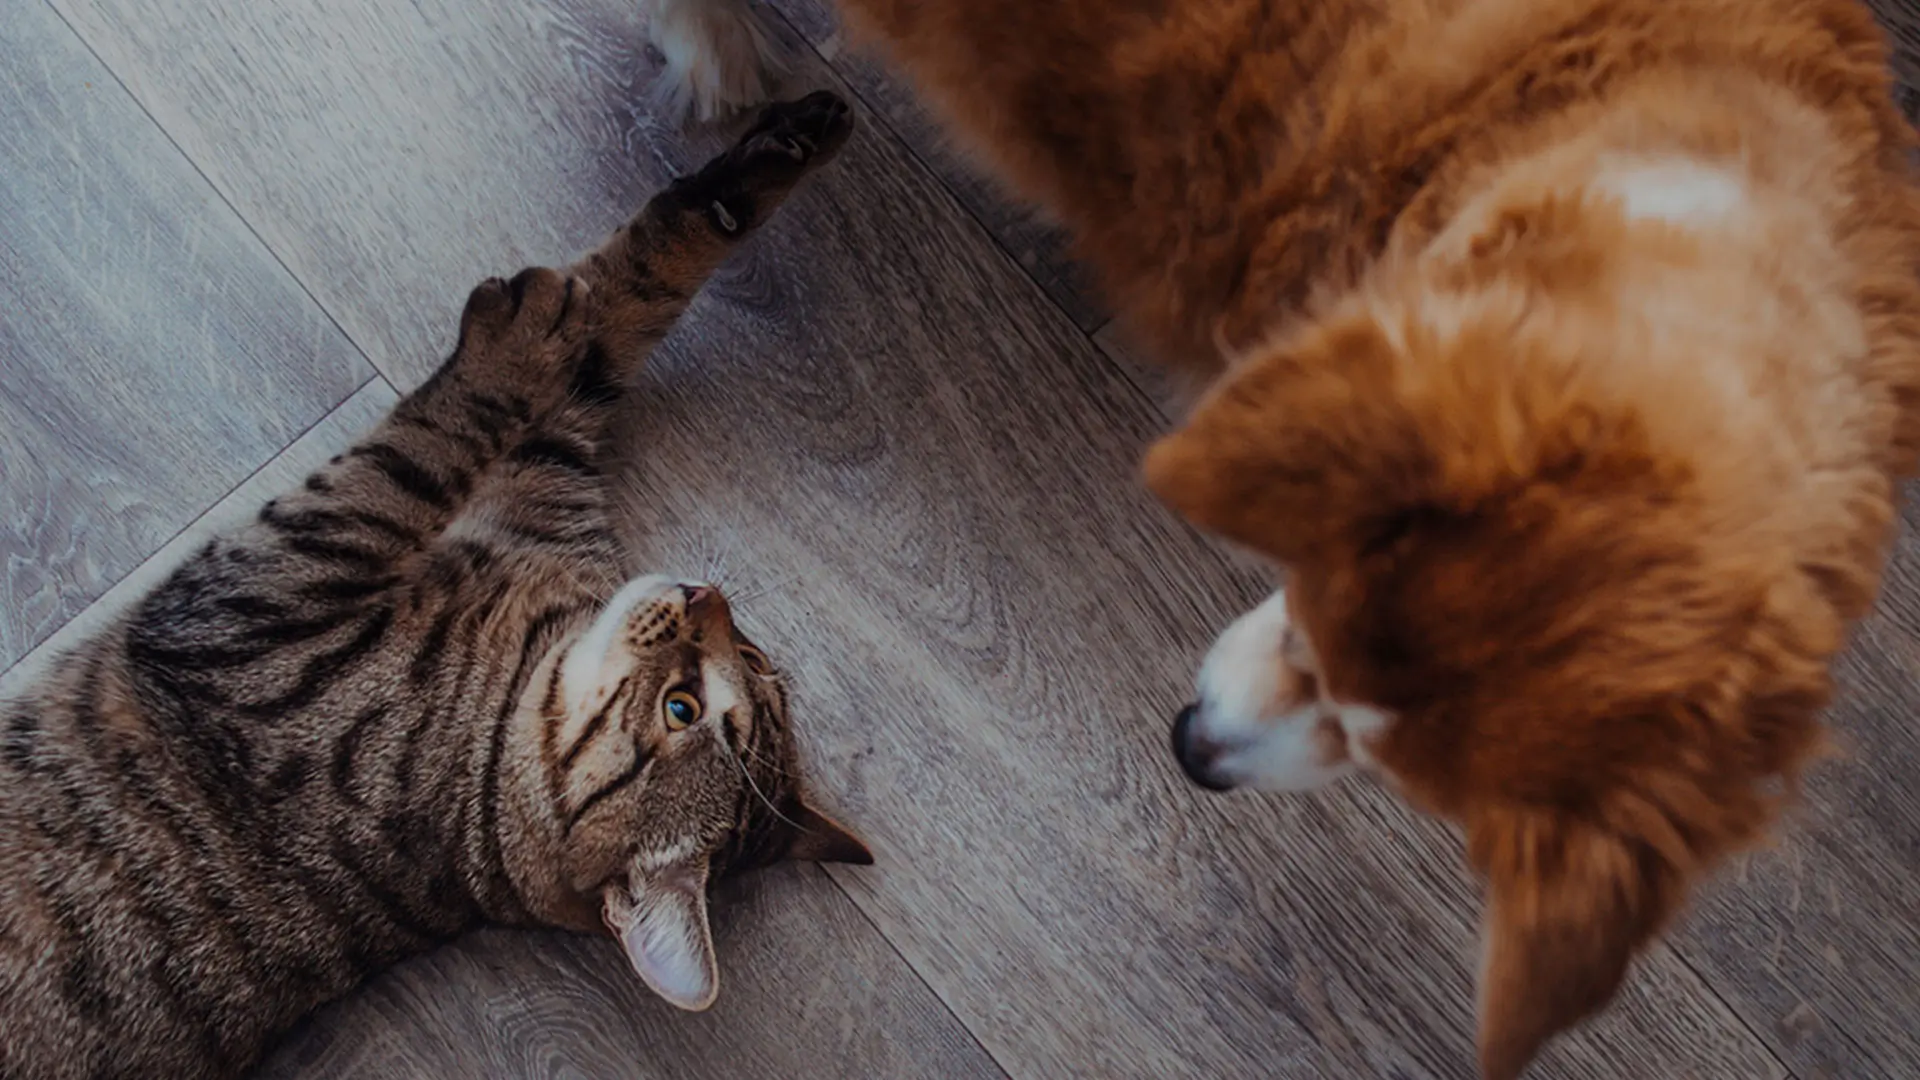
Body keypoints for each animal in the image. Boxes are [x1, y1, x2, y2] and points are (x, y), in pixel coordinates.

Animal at [0, 92, 871, 1076]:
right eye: (747, 658)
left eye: (683, 710)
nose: (705, 597)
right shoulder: (545, 475)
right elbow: (639, 283)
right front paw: (778, 149)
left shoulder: (261, 602)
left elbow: (424, 449)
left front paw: (518, 336)